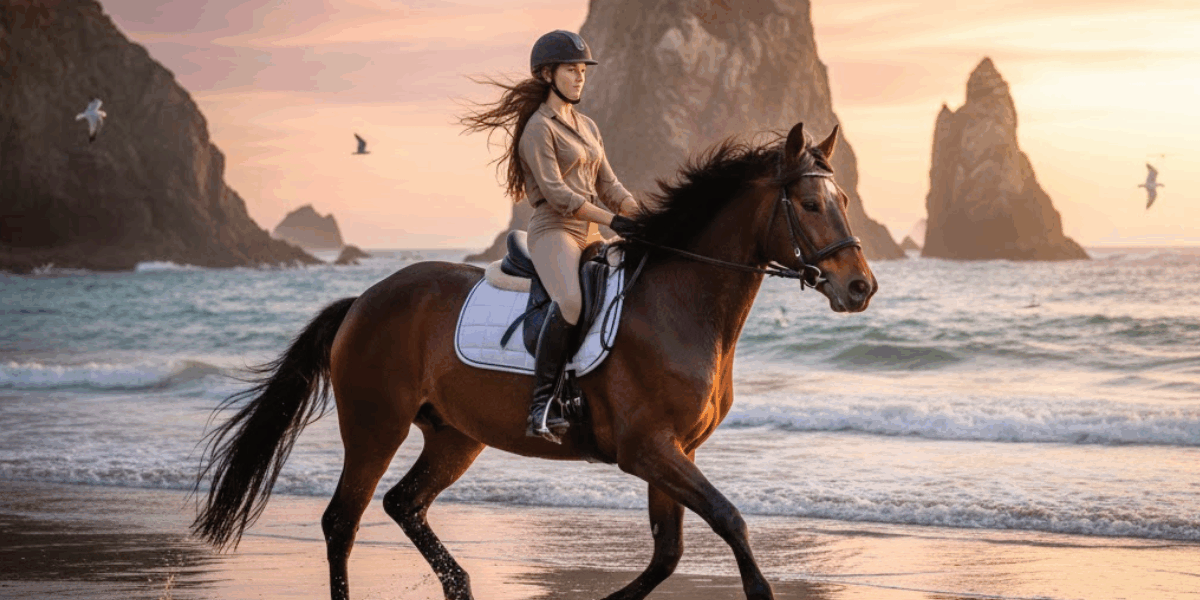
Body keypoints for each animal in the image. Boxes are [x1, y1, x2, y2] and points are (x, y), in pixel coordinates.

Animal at [192, 122, 878, 600]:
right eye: (810, 206)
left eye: (844, 199)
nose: (861, 287)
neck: (679, 305)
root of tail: (364, 298)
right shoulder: (648, 449)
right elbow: (729, 521)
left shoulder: (674, 450)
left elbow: (666, 555)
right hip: (374, 425)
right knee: (343, 521)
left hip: (454, 436)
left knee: (403, 505)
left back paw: (461, 585)